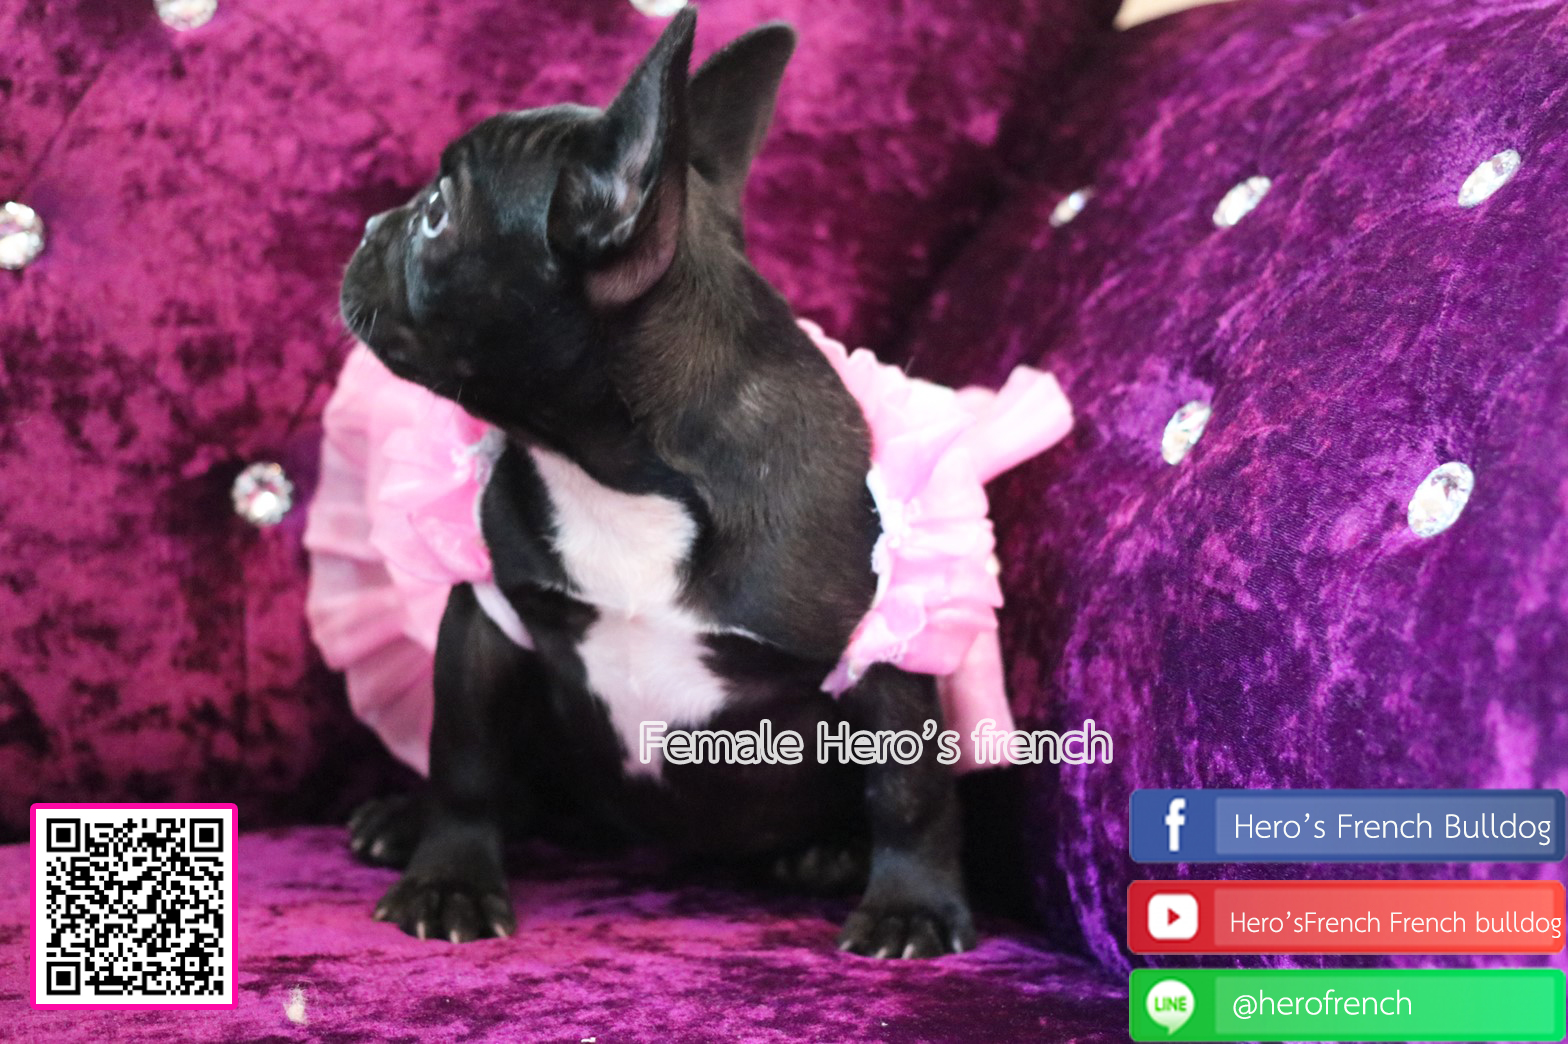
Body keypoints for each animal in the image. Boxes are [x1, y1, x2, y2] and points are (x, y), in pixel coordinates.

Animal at [338, 8, 974, 959]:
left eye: (440, 214)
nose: (375, 222)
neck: (620, 474)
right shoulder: (486, 618)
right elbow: (466, 758)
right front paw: (448, 877)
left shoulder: (884, 656)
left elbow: (910, 792)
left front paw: (912, 907)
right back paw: (398, 820)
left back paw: (828, 856)